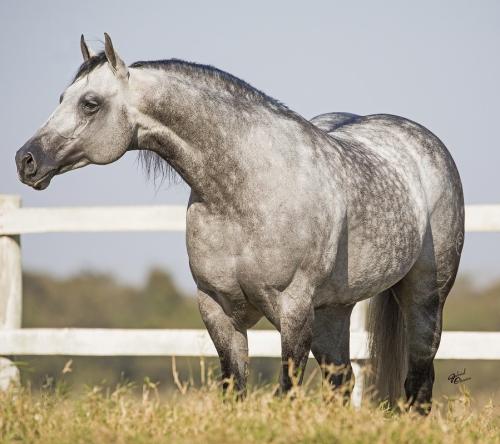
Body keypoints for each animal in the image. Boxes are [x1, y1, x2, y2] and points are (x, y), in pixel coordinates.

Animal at [16, 33, 464, 412]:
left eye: (90, 103)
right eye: (62, 97)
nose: (25, 160)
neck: (245, 190)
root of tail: (421, 141)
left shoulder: (293, 310)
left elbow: (287, 390)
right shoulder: (217, 307)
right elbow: (234, 389)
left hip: (425, 299)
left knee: (419, 383)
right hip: (333, 311)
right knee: (342, 383)